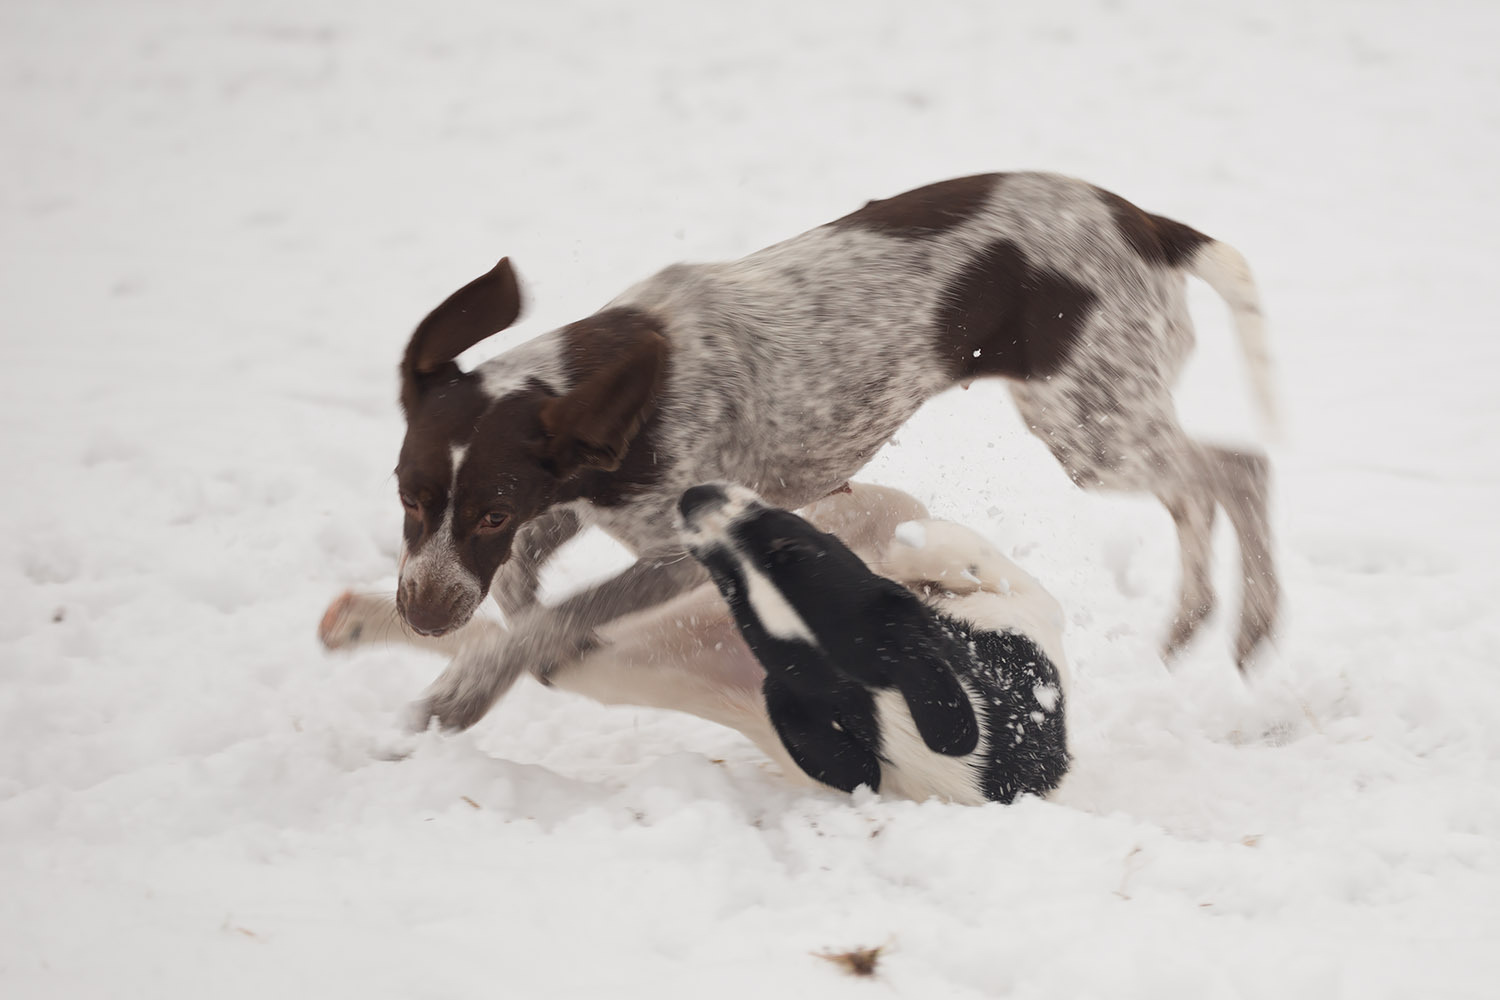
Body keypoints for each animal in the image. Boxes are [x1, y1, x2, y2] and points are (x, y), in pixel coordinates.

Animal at [337, 172, 1278, 731]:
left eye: (490, 509)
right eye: (408, 497)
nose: (423, 615)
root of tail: (1147, 222)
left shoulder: (673, 549)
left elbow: (561, 608)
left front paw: (468, 685)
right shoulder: (573, 499)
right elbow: (526, 593)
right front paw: (516, 650)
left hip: (1089, 424)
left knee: (1239, 471)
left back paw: (1254, 624)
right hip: (1103, 418)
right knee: (1202, 489)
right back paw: (1194, 621)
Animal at [681, 479, 1068, 803]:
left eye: (788, 548)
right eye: (729, 587)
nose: (691, 499)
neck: (885, 707)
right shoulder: (1026, 607)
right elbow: (940, 546)